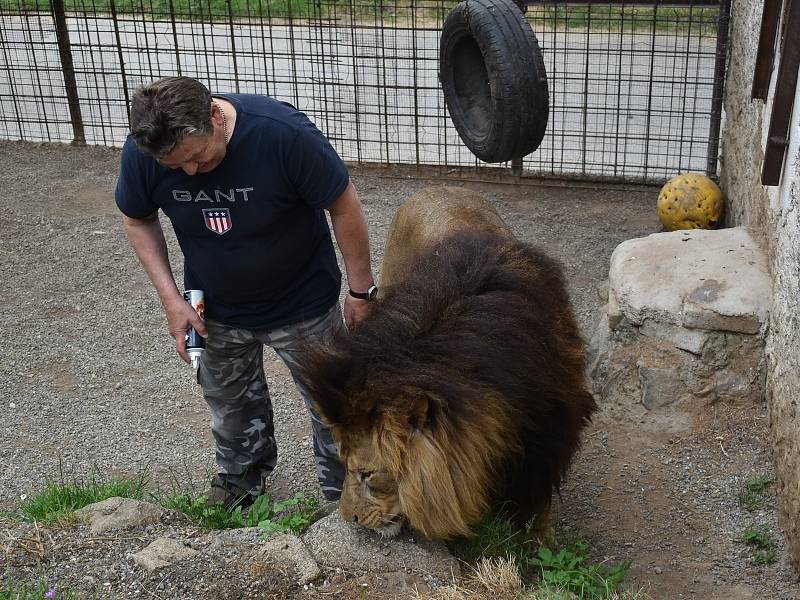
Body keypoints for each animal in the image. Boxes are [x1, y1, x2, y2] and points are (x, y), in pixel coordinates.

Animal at [304, 186, 596, 540]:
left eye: (368, 474)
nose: (349, 518)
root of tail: (432, 188)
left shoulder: (549, 439)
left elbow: (536, 505)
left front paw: (538, 542)